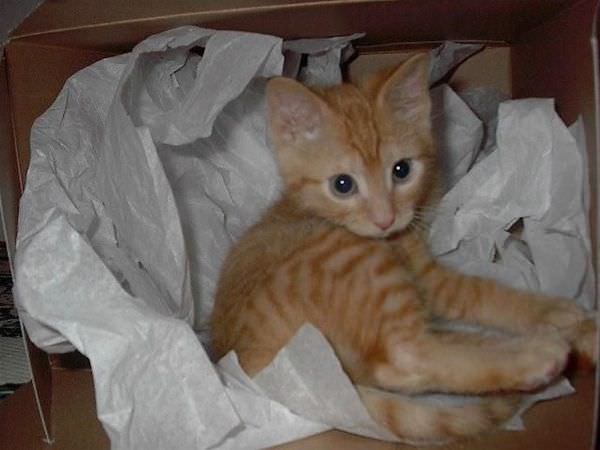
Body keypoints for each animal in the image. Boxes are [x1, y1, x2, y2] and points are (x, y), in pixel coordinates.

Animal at [211, 53, 596, 442]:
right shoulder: (426, 276)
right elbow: (482, 293)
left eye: (402, 170)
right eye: (342, 185)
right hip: (359, 260)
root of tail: (254, 374)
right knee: (407, 355)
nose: (385, 219)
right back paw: (538, 354)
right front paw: (555, 311)